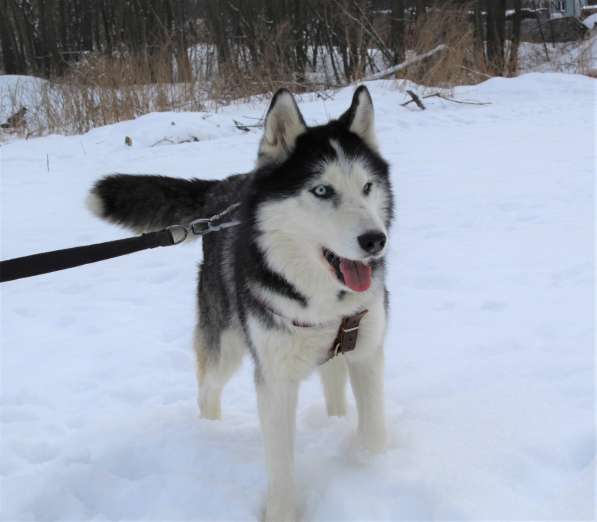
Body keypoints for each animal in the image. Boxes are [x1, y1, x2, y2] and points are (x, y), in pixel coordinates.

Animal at [87, 86, 392, 520]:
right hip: (227, 342)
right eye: (322, 190)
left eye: (367, 187)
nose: (375, 240)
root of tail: (227, 187)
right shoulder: (275, 379)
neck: (320, 298)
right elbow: (281, 467)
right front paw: (282, 512)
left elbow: (374, 431)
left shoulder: (366, 351)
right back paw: (209, 435)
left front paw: (373, 468)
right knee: (206, 391)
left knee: (332, 382)